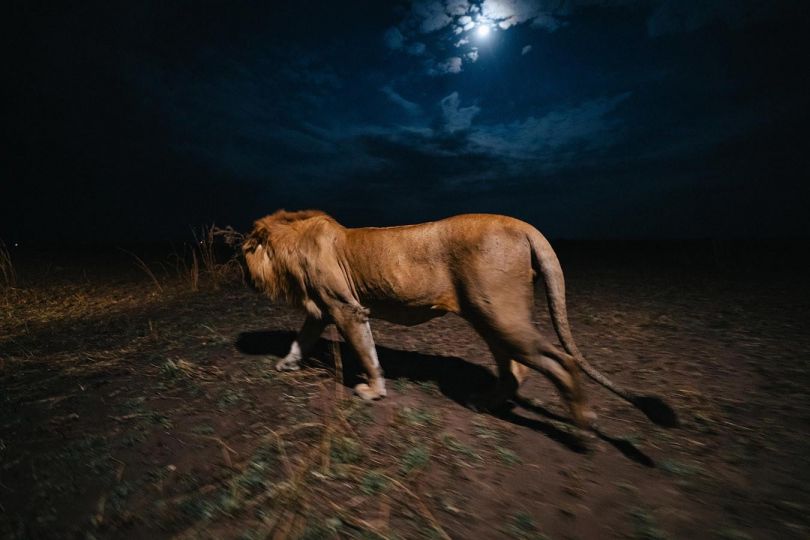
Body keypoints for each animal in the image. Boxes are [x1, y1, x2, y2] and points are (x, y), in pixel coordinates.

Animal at [242, 210, 677, 429]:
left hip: (500, 315)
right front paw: (285, 364)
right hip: (490, 318)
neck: (293, 244)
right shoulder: (321, 310)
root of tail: (524, 225)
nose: (244, 276)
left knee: (561, 361)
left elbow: (367, 354)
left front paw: (373, 391)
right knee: (516, 370)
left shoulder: (346, 307)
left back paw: (582, 422)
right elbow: (301, 339)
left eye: (244, 254)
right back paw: (484, 402)